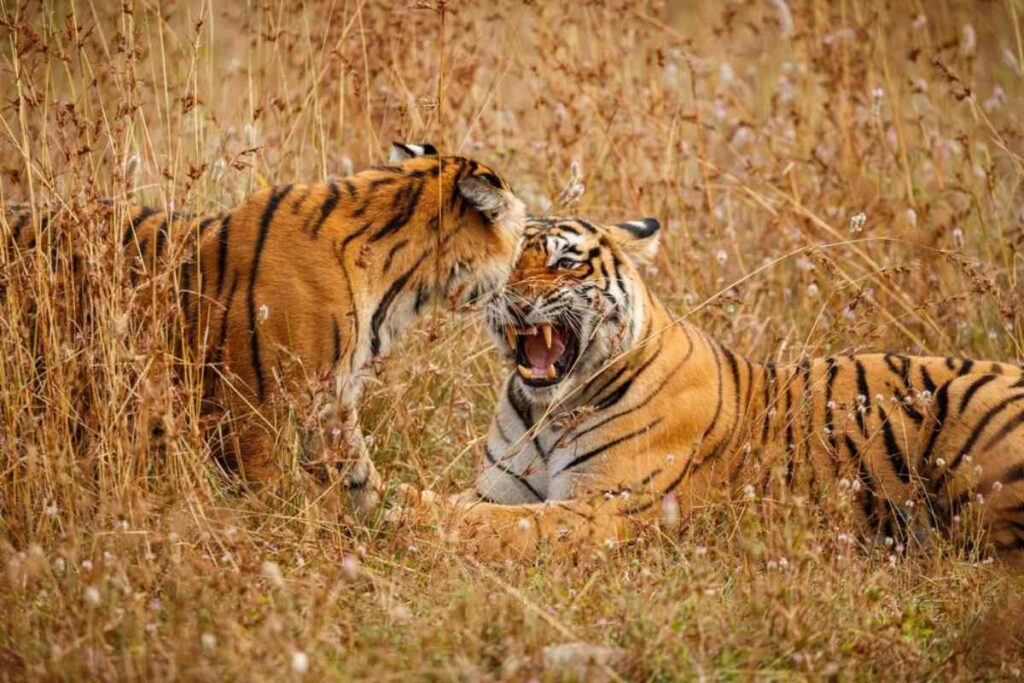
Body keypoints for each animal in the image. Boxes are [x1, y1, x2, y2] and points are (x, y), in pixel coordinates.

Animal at [400, 213, 1024, 562]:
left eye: (565, 263)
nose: (507, 298)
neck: (548, 411)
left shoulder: (609, 508)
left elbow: (491, 524)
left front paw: (391, 503)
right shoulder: (500, 489)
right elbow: (475, 509)